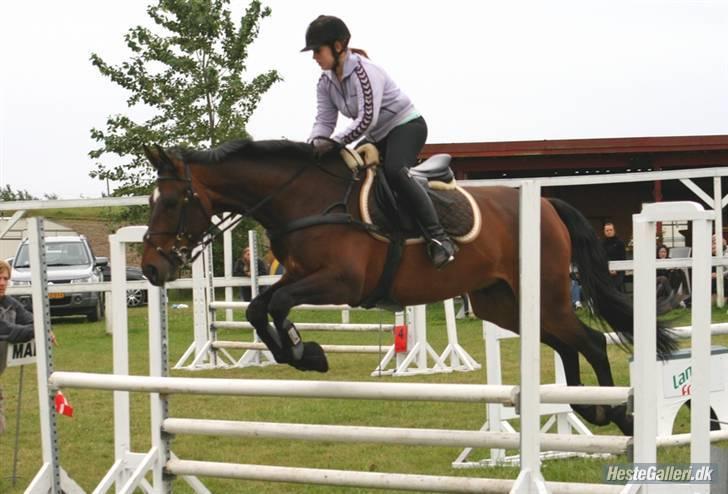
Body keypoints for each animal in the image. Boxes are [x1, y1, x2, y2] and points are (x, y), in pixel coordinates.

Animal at [141, 137, 676, 434]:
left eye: (170, 202)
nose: (149, 269)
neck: (304, 198)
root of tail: (548, 205)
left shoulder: (339, 283)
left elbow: (278, 306)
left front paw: (305, 352)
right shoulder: (297, 275)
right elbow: (258, 308)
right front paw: (302, 353)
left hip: (543, 296)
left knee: (589, 340)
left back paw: (617, 414)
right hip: (505, 304)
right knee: (566, 343)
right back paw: (591, 408)